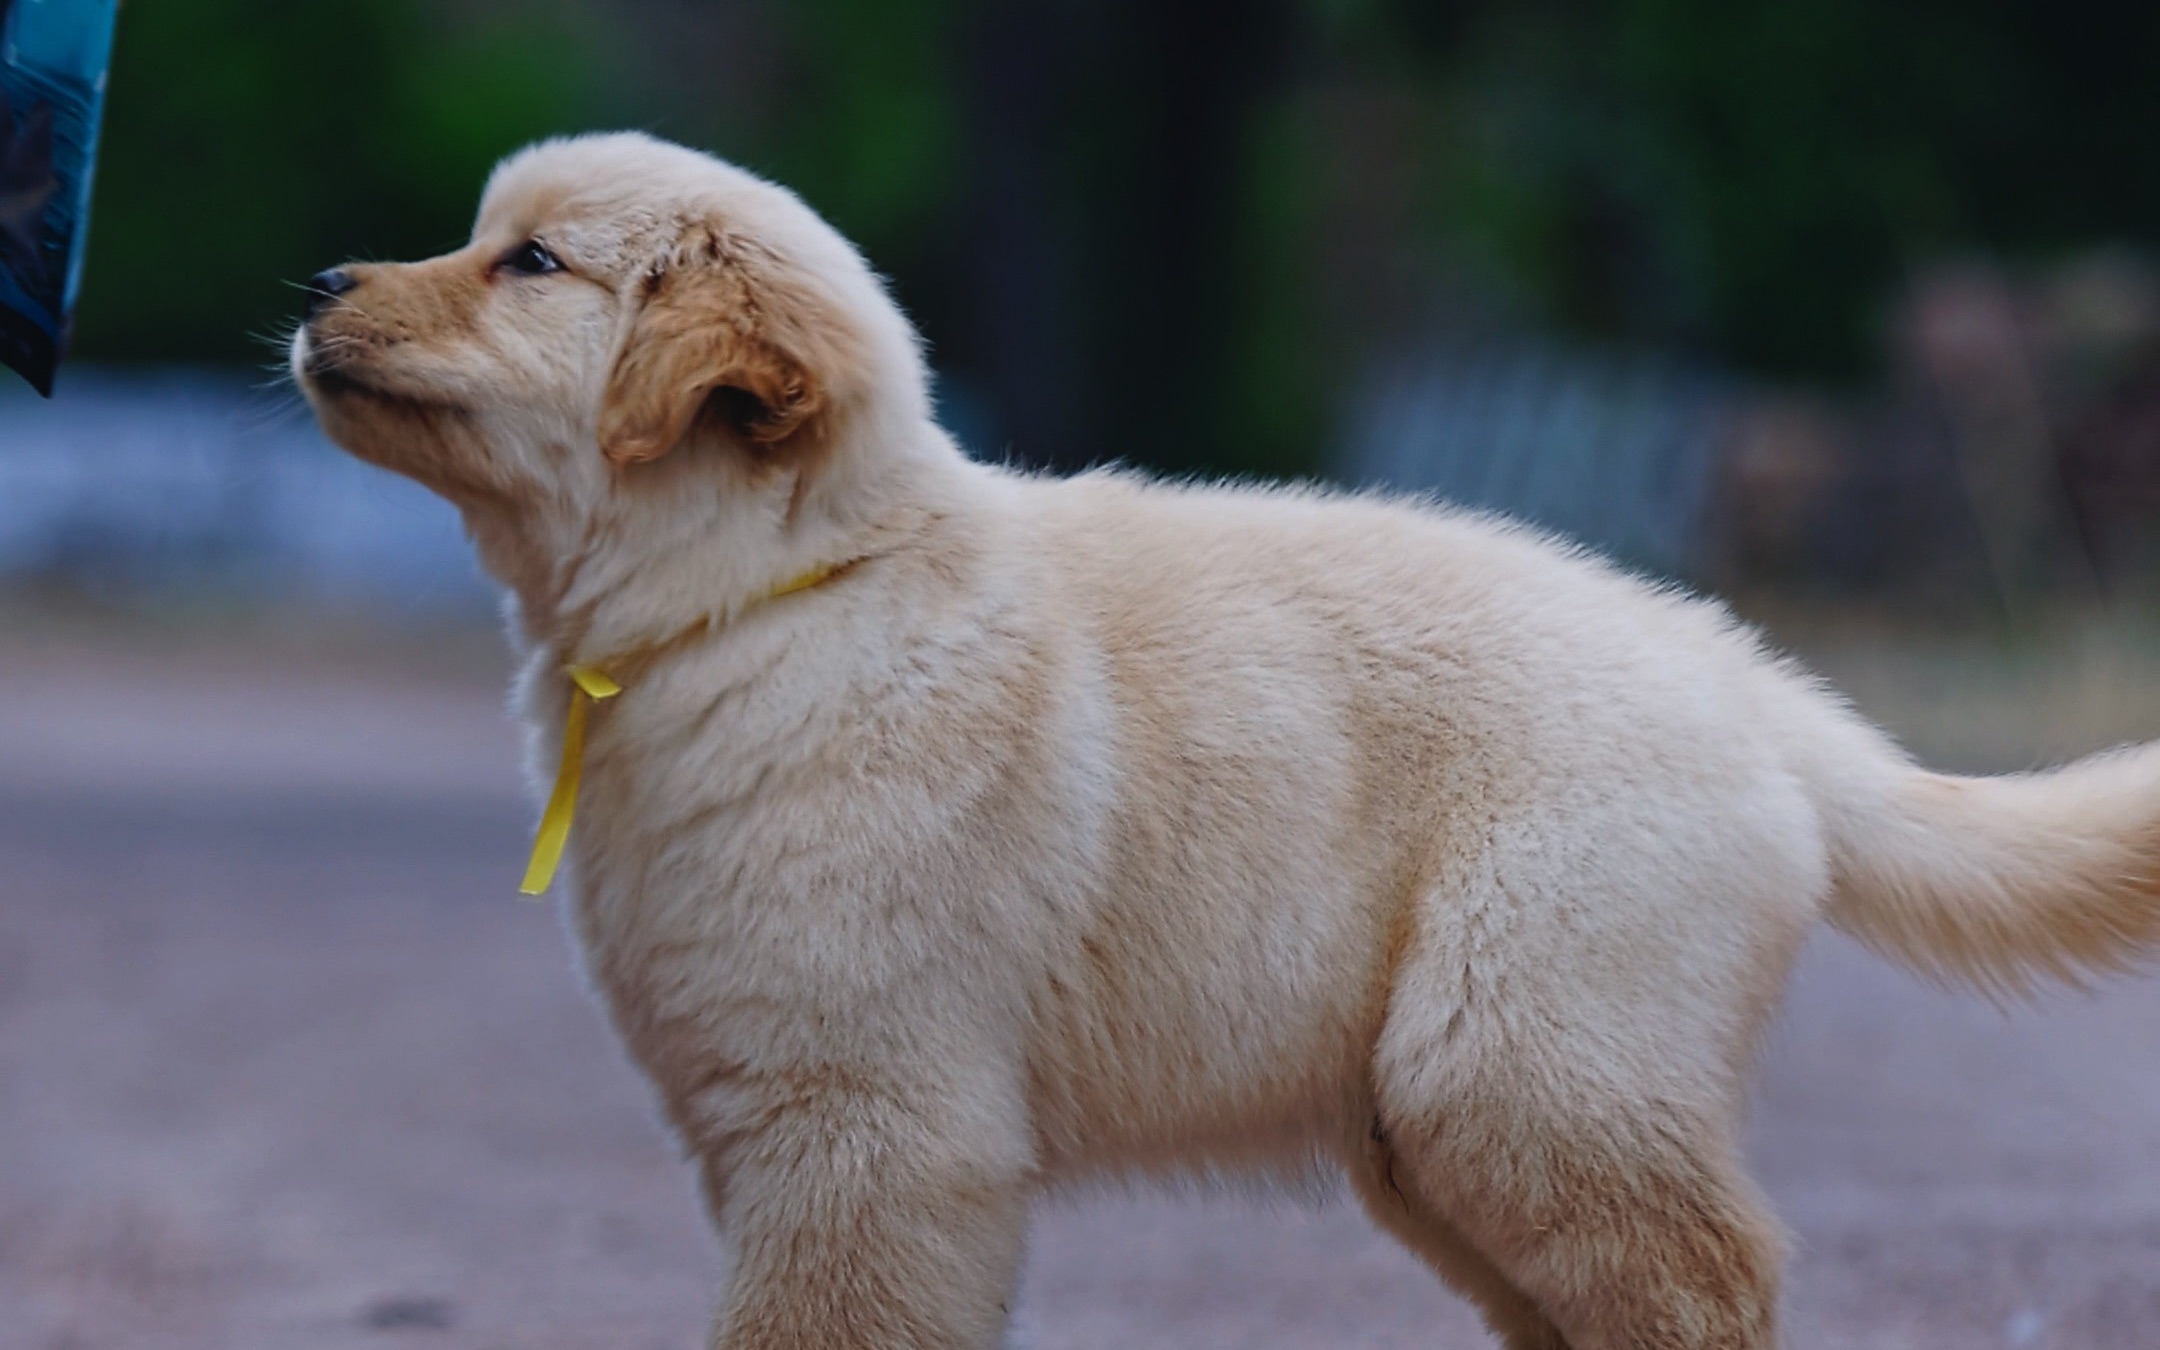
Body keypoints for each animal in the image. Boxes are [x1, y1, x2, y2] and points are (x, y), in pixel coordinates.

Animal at [291, 134, 2160, 1347]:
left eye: (529, 262)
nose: (317, 278)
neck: (778, 594)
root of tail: (1752, 683)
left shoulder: (872, 1130)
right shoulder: (774, 1117)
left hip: (1526, 1058)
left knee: (1710, 1277)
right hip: (1450, 1123)